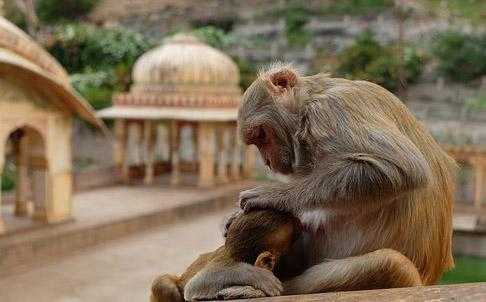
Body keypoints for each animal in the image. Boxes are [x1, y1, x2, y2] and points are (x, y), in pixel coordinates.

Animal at [184, 63, 454, 300]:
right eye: (256, 140)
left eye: (261, 135)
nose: (267, 162)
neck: (311, 99)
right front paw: (232, 219)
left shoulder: (330, 110)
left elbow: (400, 167)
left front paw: (272, 195)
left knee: (390, 263)